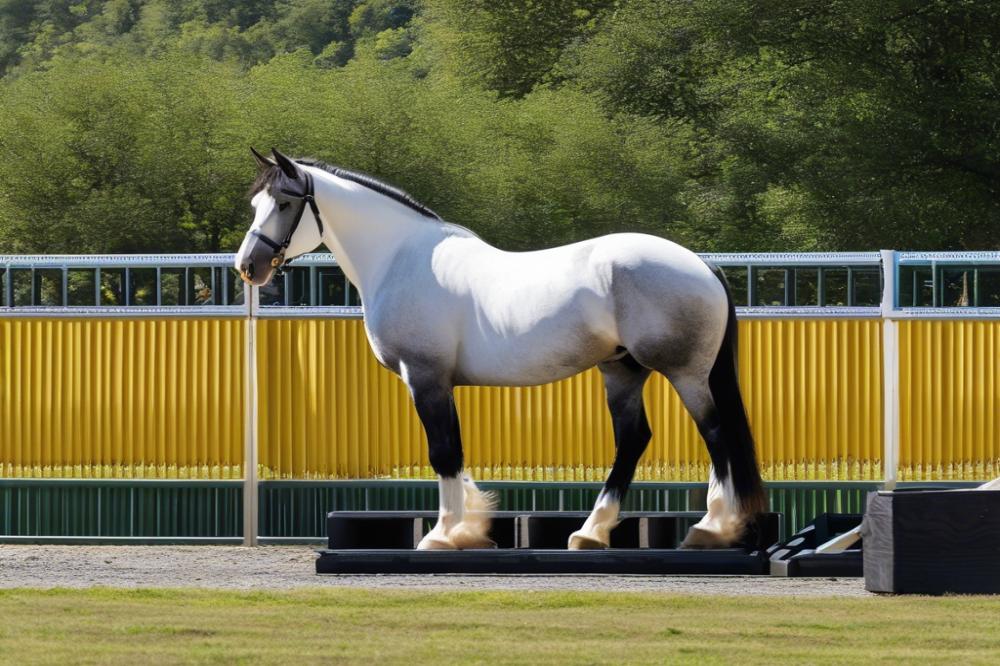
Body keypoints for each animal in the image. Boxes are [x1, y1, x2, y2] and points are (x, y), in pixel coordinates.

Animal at [234, 148, 764, 548]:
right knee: (634, 439)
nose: (248, 265)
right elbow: (455, 452)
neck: (401, 258)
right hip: (623, 370)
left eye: (284, 203)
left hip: (685, 372)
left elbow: (443, 452)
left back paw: (711, 527)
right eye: (256, 202)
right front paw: (474, 522)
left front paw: (443, 534)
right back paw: (591, 532)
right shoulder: (437, 382)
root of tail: (701, 264)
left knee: (715, 433)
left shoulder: (424, 376)